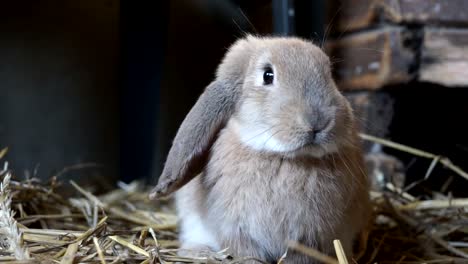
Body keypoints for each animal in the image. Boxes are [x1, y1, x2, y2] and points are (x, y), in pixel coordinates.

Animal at [149, 35, 370, 264]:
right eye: (267, 75)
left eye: (329, 75)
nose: (317, 122)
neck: (283, 158)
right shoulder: (237, 230)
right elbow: (247, 253)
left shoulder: (311, 238)